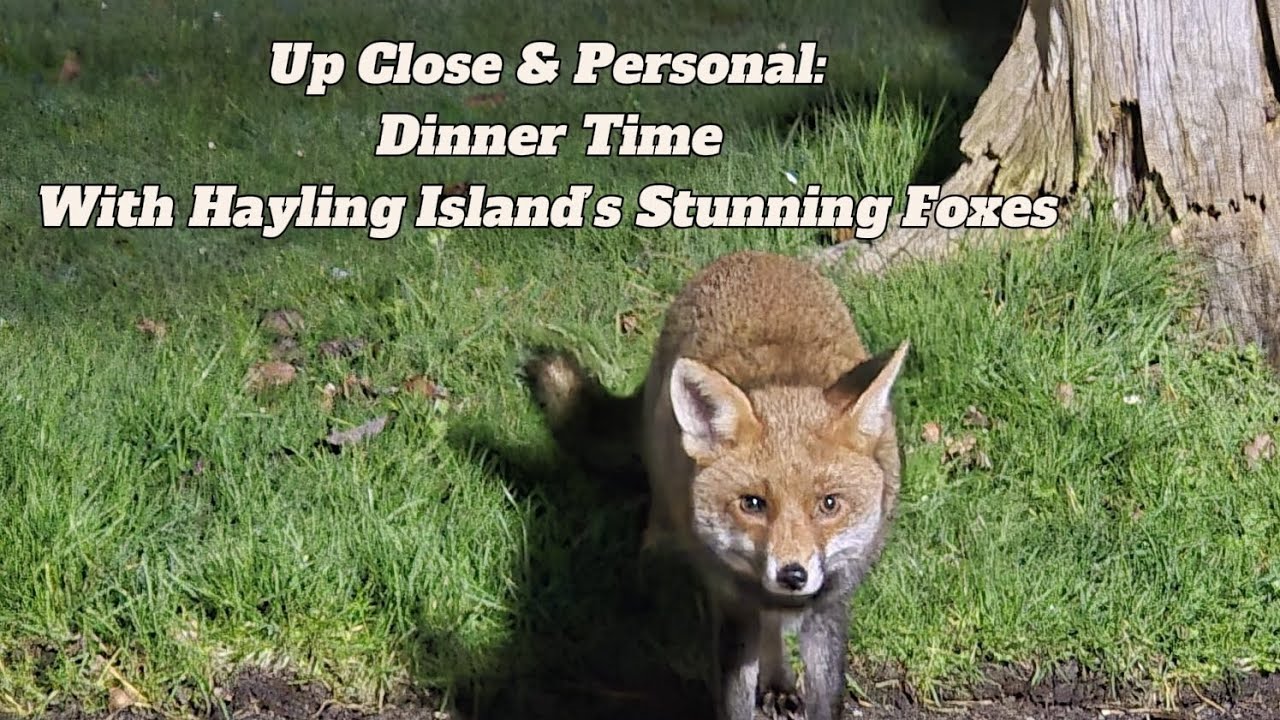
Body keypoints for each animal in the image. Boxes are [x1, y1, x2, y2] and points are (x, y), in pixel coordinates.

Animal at [525, 250, 909, 720]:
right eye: (753, 503)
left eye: (830, 504)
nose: (792, 574)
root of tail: (752, 255)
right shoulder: (731, 604)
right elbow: (732, 698)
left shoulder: (829, 606)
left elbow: (826, 693)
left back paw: (778, 677)